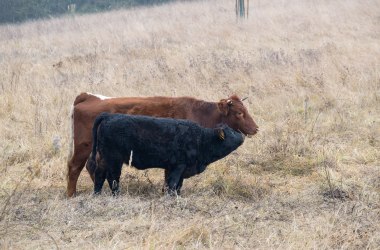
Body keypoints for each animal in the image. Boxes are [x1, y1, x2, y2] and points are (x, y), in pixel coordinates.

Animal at [68, 92, 258, 197]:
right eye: (239, 113)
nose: (255, 128)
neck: (201, 112)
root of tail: (88, 97)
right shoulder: (175, 163)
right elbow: (171, 183)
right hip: (85, 148)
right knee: (75, 168)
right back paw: (72, 195)